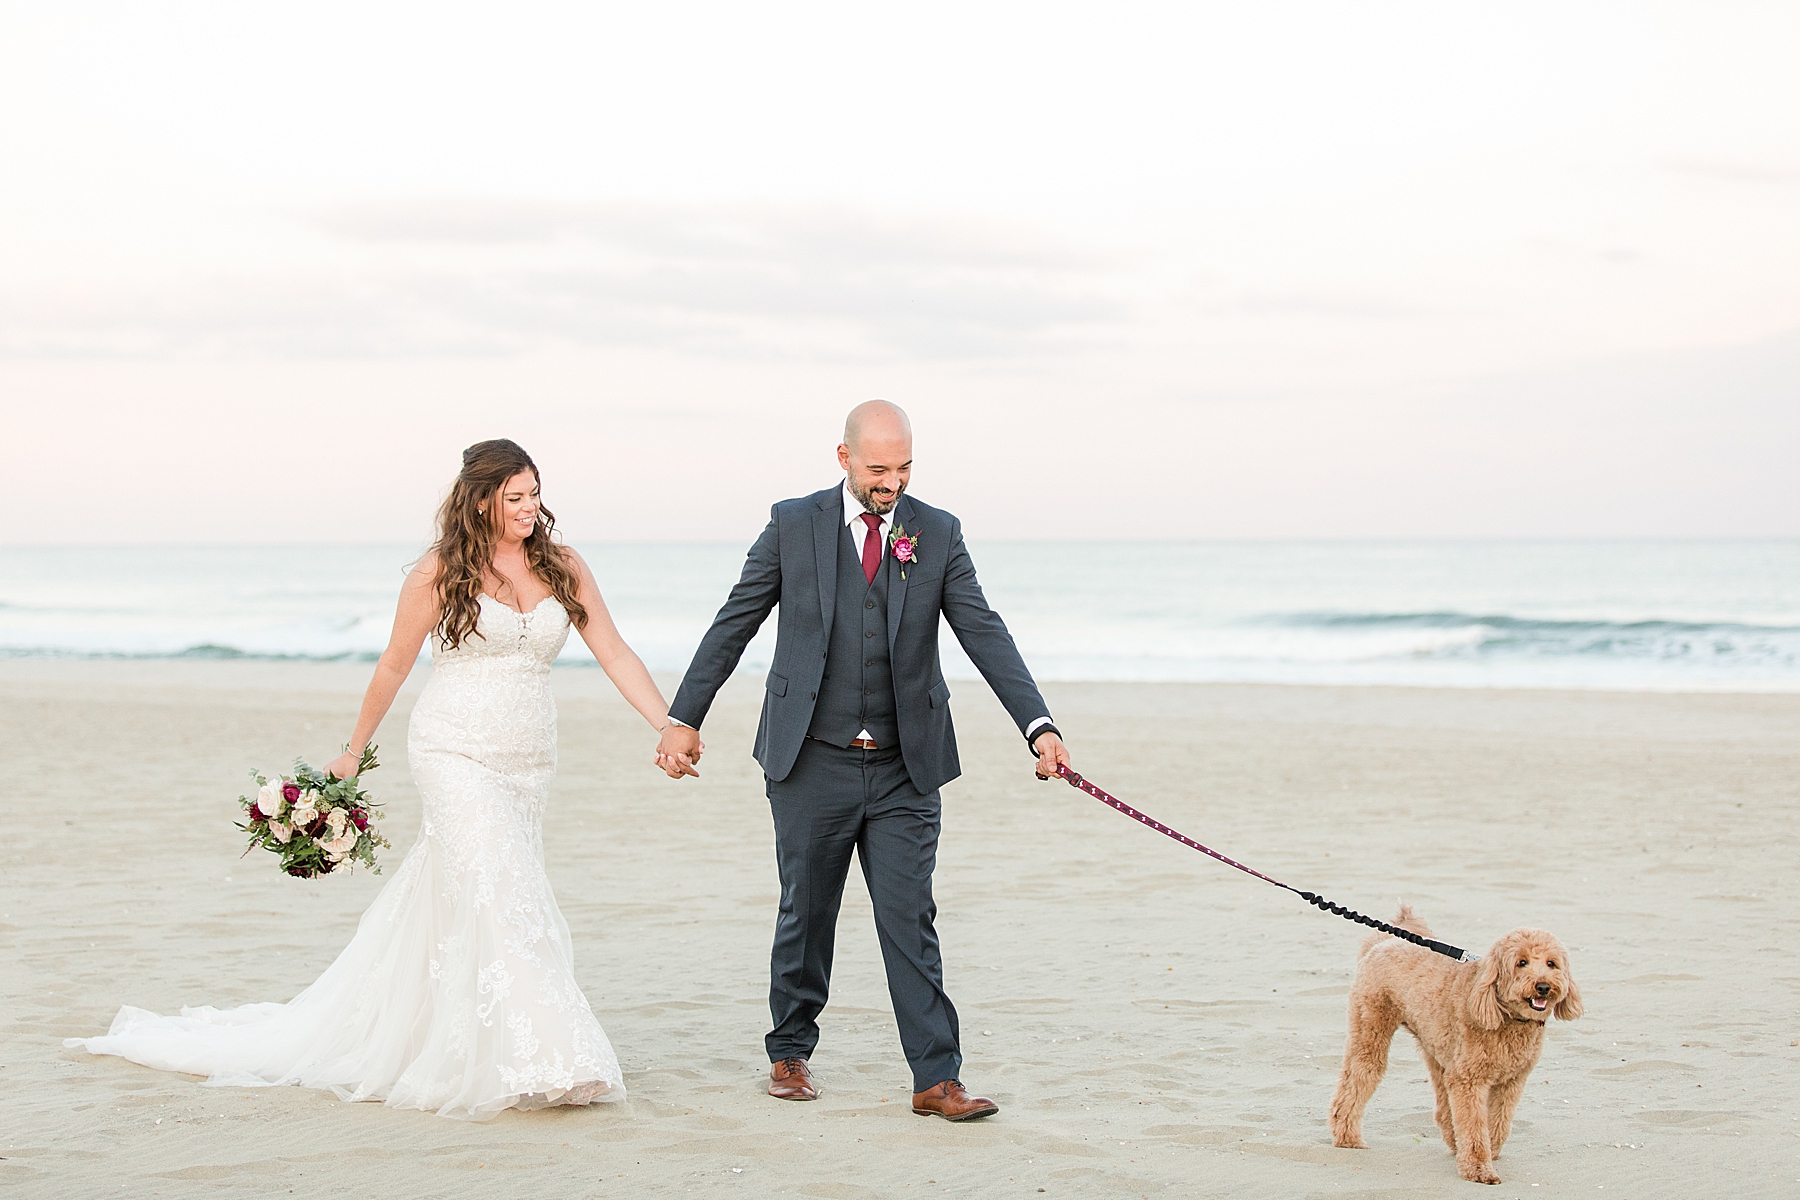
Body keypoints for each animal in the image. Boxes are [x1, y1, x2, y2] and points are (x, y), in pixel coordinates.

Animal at [1332, 906, 1584, 1187]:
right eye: (1521, 963)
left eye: (1551, 964)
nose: (1543, 986)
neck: (1505, 1015)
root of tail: (1383, 943)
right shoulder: (1468, 1081)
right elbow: (1474, 1126)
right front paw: (1478, 1168)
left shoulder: (1511, 1082)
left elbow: (1498, 1121)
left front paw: (1490, 1151)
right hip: (1371, 1030)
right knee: (1358, 1077)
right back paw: (1347, 1137)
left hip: (1437, 1050)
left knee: (1444, 1106)